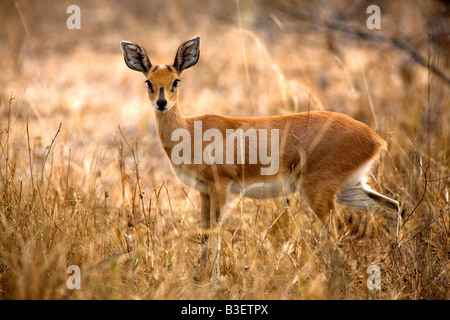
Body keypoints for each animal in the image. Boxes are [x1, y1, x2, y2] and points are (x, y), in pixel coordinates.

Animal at [121, 36, 402, 278]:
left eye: (176, 81)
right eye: (148, 82)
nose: (161, 103)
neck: (190, 130)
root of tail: (374, 138)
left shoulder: (220, 187)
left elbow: (216, 232)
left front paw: (213, 281)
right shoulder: (204, 191)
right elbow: (205, 233)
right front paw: (201, 278)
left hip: (318, 192)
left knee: (334, 237)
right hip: (349, 188)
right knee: (393, 207)